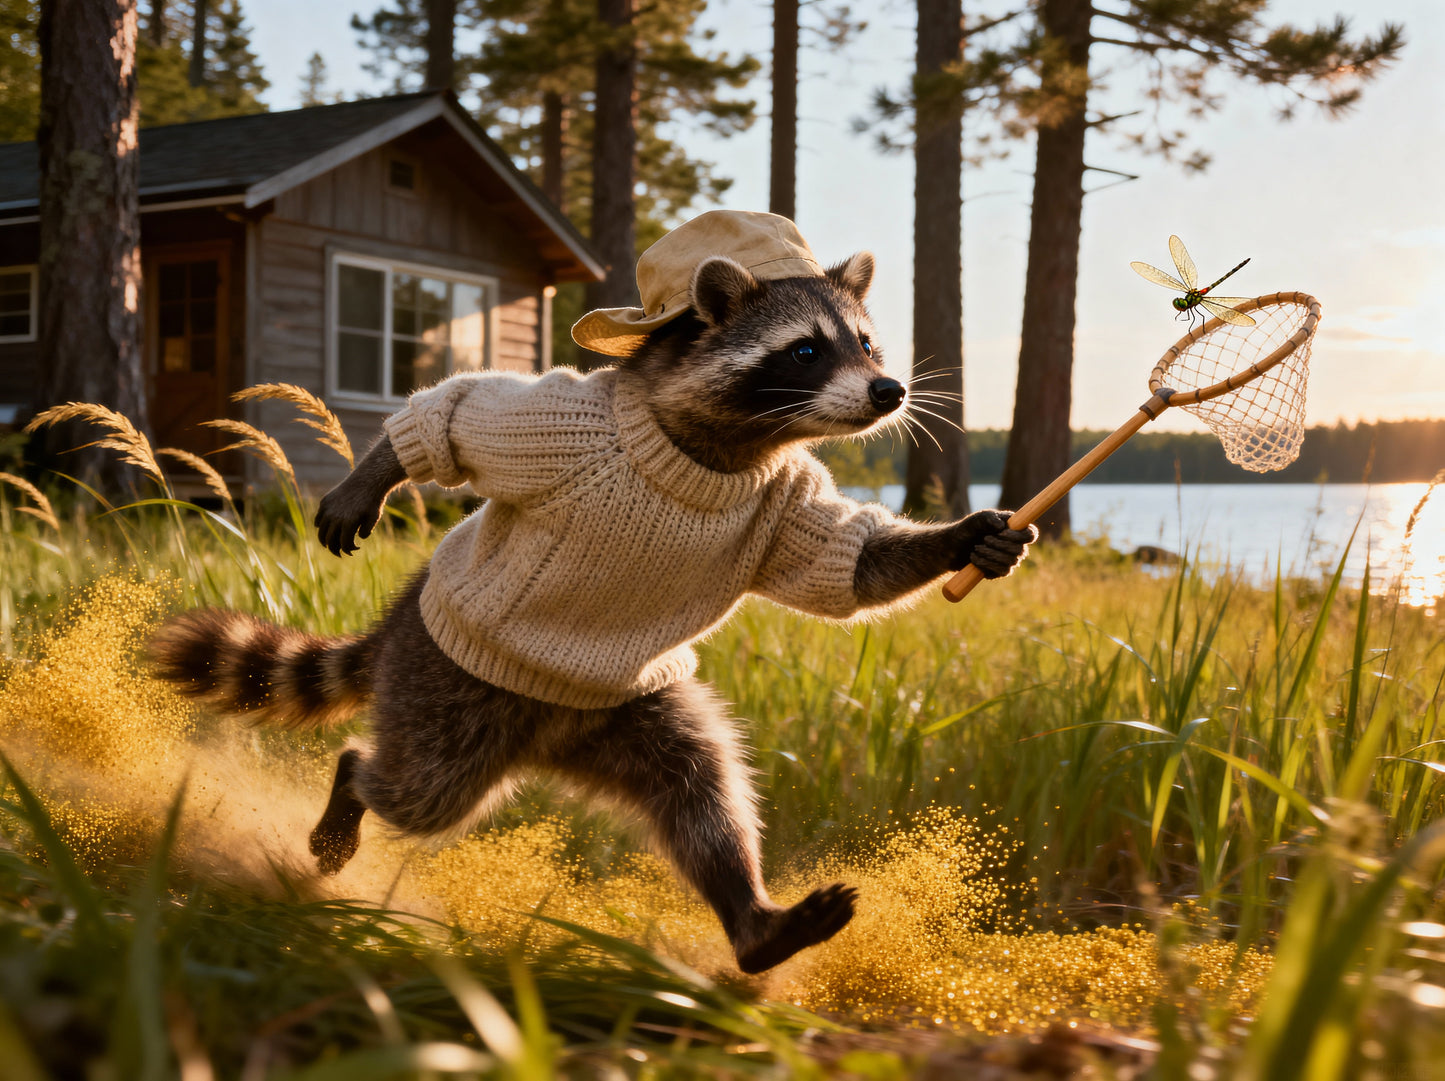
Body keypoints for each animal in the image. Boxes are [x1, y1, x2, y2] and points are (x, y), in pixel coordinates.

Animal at [150, 248, 1036, 975]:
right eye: (808, 349)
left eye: (868, 344)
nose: (889, 389)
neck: (722, 451)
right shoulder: (571, 430)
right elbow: (470, 413)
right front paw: (377, 468)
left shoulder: (785, 502)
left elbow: (848, 564)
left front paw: (962, 538)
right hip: (441, 689)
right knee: (418, 787)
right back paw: (350, 785)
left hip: (627, 710)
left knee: (699, 786)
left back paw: (753, 921)